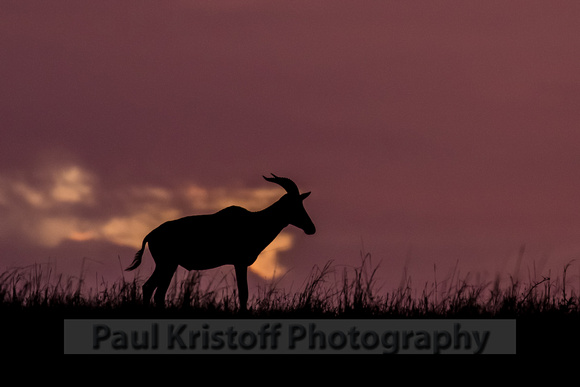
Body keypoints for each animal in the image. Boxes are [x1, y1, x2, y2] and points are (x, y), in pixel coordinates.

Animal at [126, 174, 314, 310]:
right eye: (294, 204)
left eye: (301, 202)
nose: (311, 228)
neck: (254, 221)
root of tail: (151, 234)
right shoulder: (240, 263)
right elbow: (243, 293)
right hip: (167, 264)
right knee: (154, 290)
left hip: (168, 266)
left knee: (151, 289)